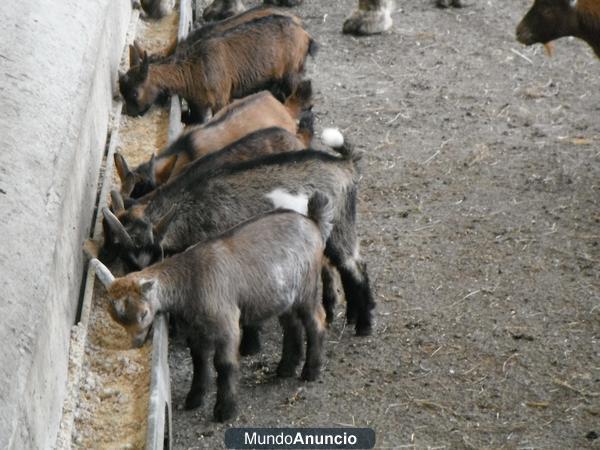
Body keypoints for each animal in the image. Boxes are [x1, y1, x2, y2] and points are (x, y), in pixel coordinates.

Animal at [91, 191, 330, 422]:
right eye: (116, 318)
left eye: (143, 314)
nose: (137, 343)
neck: (190, 278)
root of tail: (313, 221)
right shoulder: (195, 331)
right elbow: (199, 361)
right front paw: (194, 399)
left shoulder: (227, 325)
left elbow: (224, 364)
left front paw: (225, 410)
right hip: (284, 295)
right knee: (292, 324)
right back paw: (286, 368)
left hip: (308, 287)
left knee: (316, 320)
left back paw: (311, 371)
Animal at [119, 14, 322, 122]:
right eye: (122, 92)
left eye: (135, 93)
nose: (129, 112)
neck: (192, 70)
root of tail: (305, 35)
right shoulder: (197, 105)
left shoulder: (221, 100)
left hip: (292, 73)